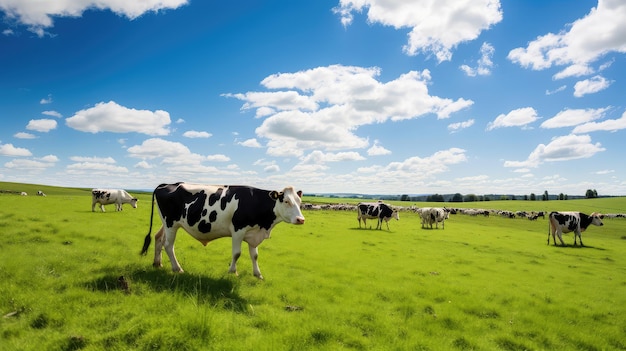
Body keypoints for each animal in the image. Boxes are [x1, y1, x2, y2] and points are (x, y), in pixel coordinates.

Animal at [142, 183, 308, 280]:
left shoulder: (254, 233)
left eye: (300, 202)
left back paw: (157, 263)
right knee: (169, 245)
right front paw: (233, 272)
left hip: (167, 223)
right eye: (286, 201)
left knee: (159, 238)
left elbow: (254, 255)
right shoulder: (238, 230)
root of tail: (168, 184)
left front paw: (258, 274)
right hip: (171, 223)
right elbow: (237, 253)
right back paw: (177, 268)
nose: (301, 219)